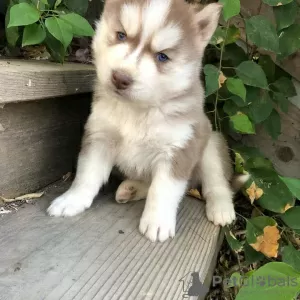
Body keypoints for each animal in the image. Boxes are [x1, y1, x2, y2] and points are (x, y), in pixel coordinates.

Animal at [48, 0, 238, 243]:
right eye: (121, 35)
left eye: (162, 56)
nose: (120, 78)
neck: (137, 110)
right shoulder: (100, 136)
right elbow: (87, 174)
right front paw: (72, 199)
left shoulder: (179, 148)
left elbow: (164, 189)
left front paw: (157, 222)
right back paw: (131, 189)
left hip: (210, 141)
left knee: (216, 181)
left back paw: (221, 208)